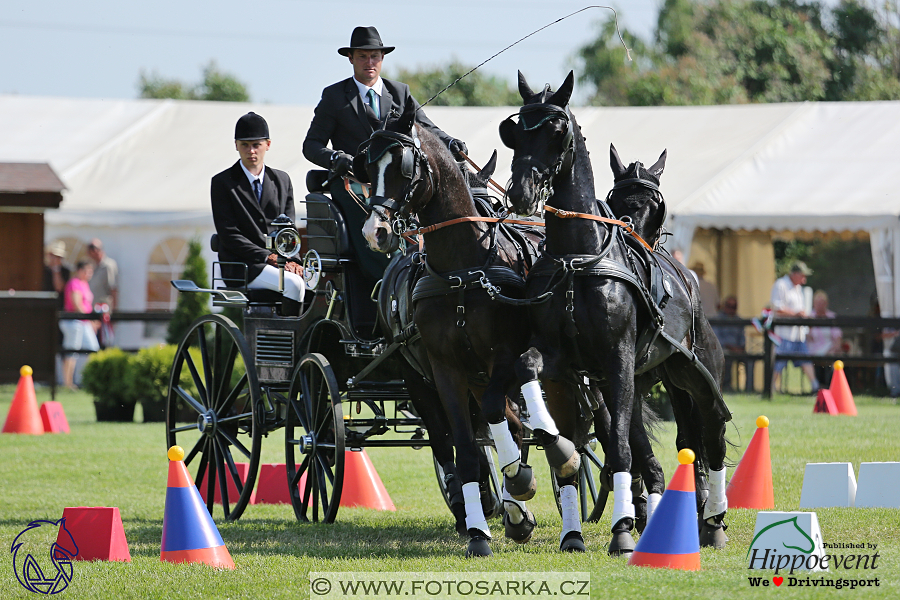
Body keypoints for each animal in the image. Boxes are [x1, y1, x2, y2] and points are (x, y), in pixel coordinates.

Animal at [356, 99, 544, 556]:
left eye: (403, 166)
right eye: (366, 167)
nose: (376, 232)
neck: (462, 268)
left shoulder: (502, 358)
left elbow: (500, 422)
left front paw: (517, 487)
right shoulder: (445, 370)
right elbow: (465, 448)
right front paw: (479, 533)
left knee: (506, 422)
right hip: (418, 380)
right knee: (448, 443)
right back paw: (476, 510)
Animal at [502, 72, 736, 556]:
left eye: (557, 131)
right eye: (514, 132)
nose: (522, 192)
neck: (578, 258)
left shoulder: (620, 359)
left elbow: (624, 450)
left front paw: (623, 532)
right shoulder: (564, 363)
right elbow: (529, 371)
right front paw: (560, 454)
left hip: (695, 372)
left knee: (711, 433)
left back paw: (713, 521)